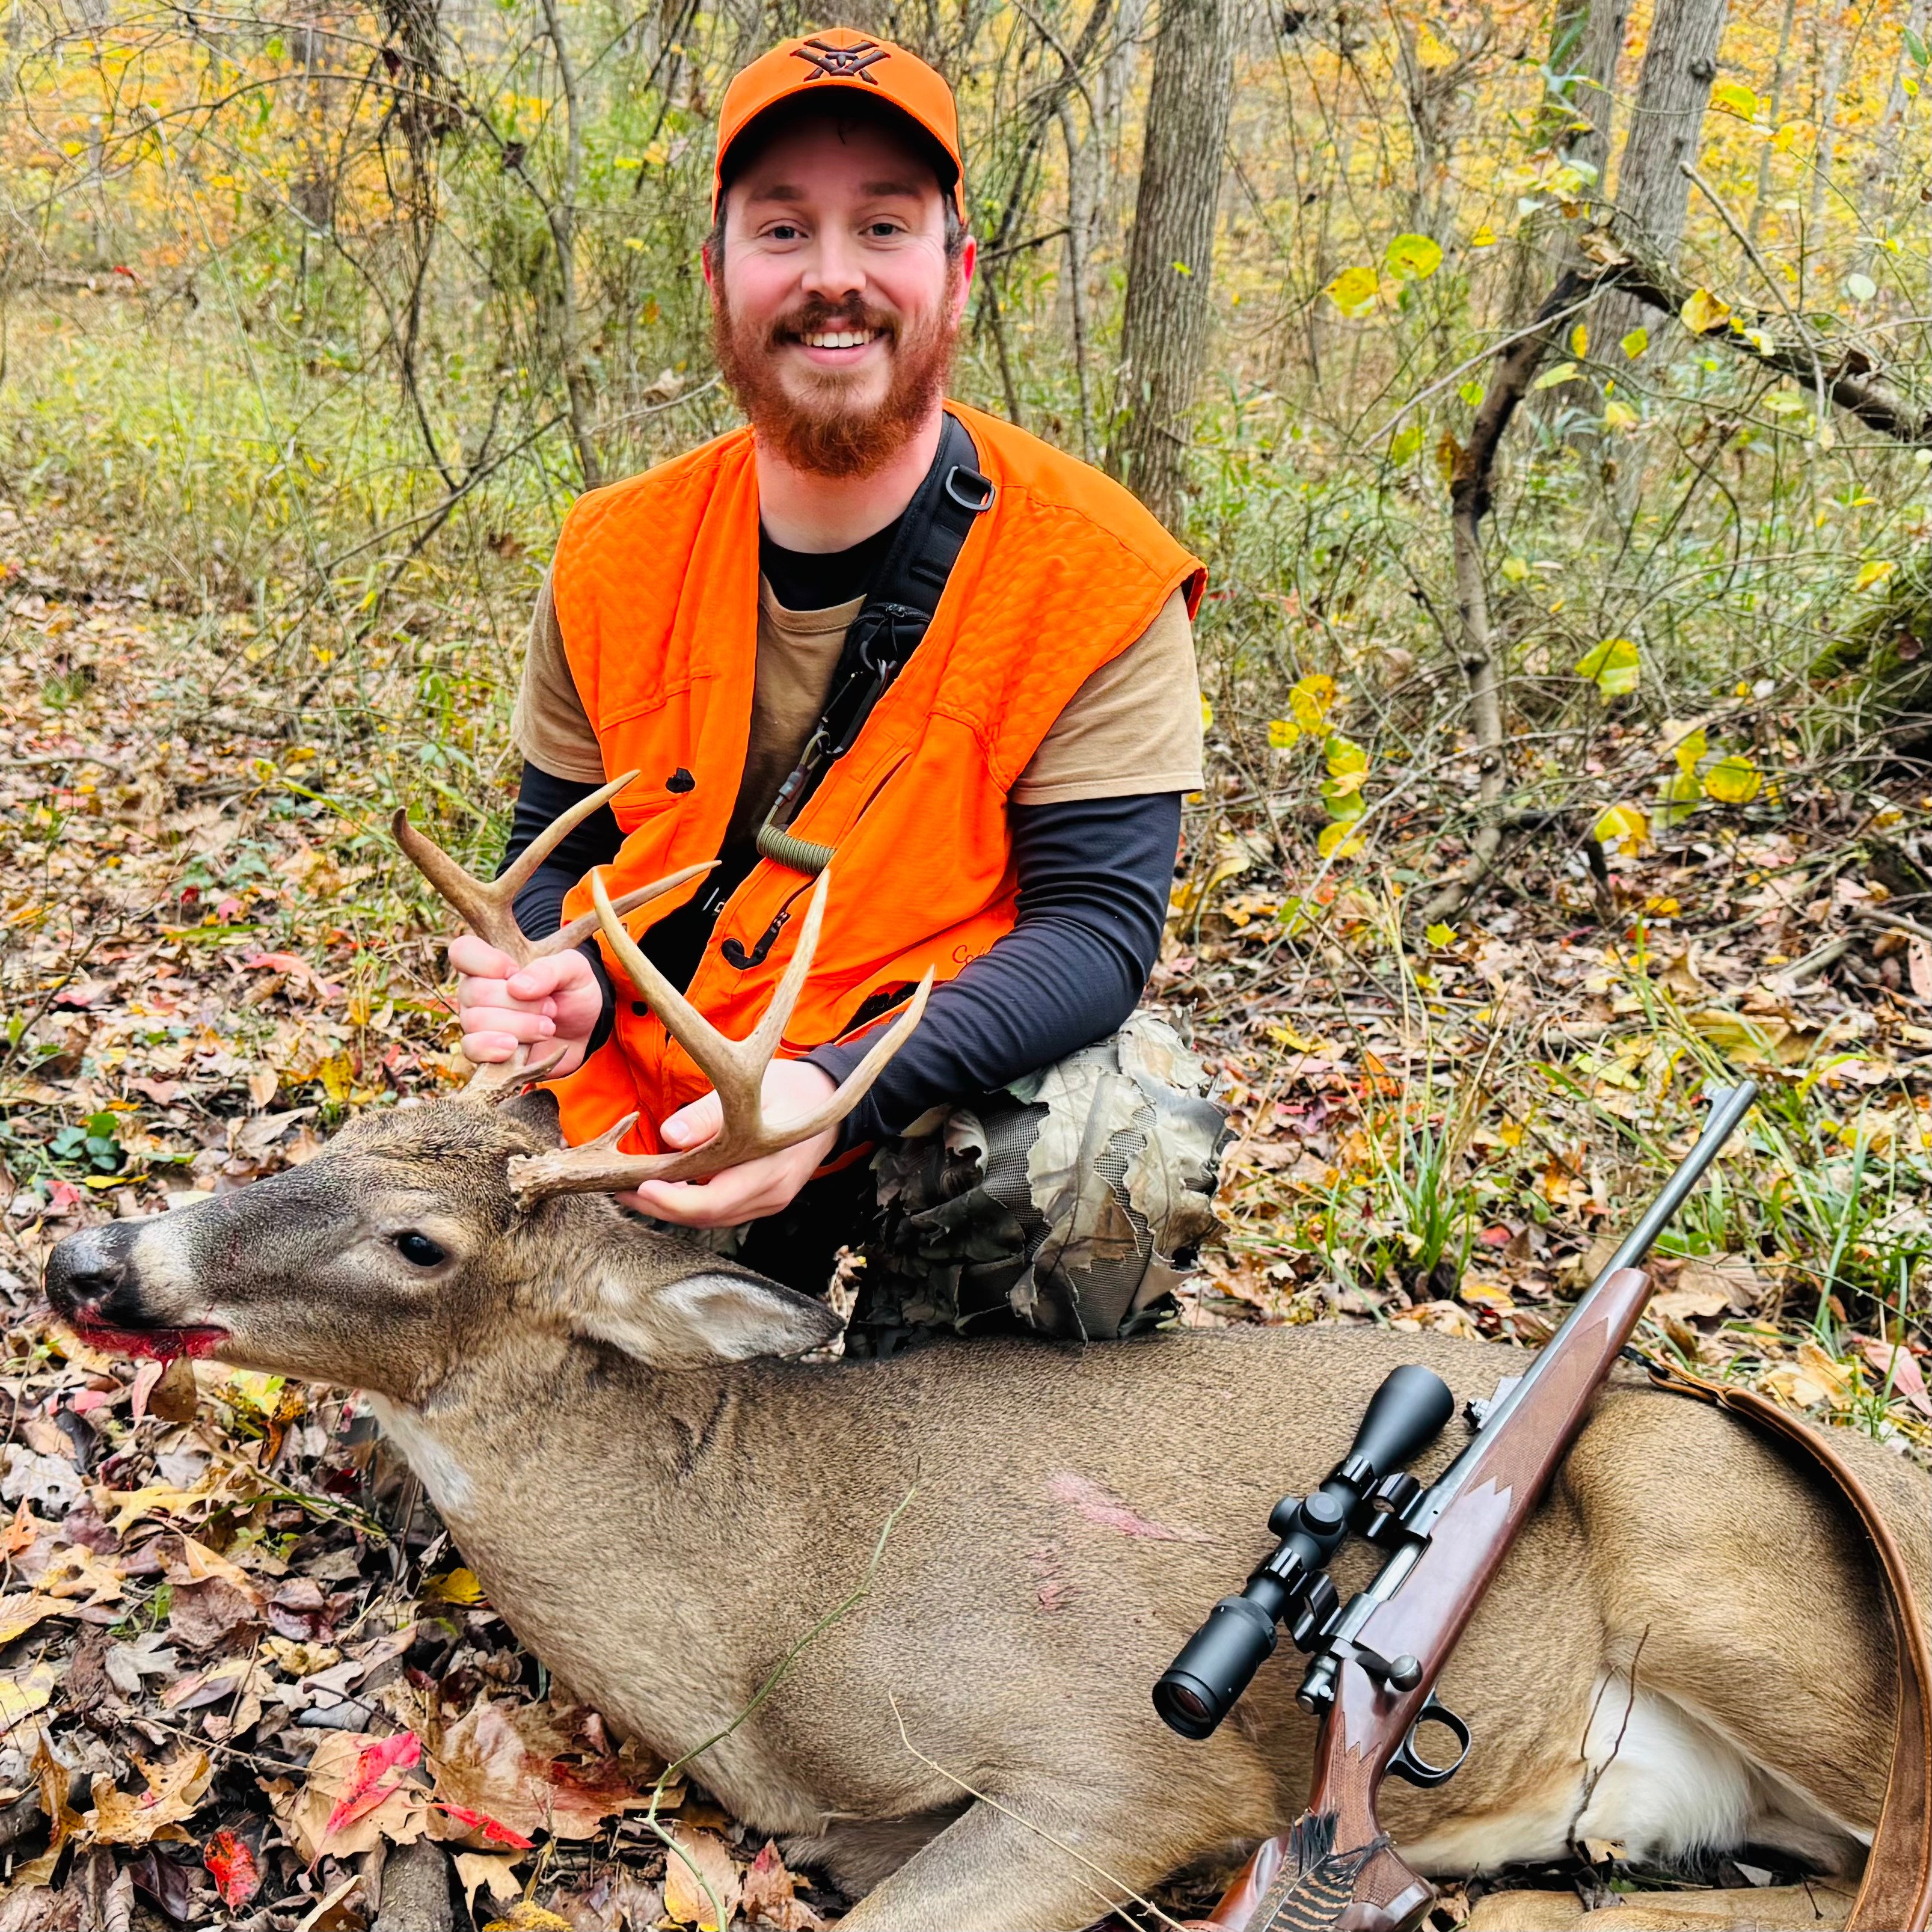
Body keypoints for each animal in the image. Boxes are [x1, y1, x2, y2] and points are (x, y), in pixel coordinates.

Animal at [44, 778, 1932, 1932]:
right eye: (343, 1131)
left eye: (420, 1242)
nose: (85, 1257)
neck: (759, 1603)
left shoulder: (1120, 1764)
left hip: (1736, 1573)